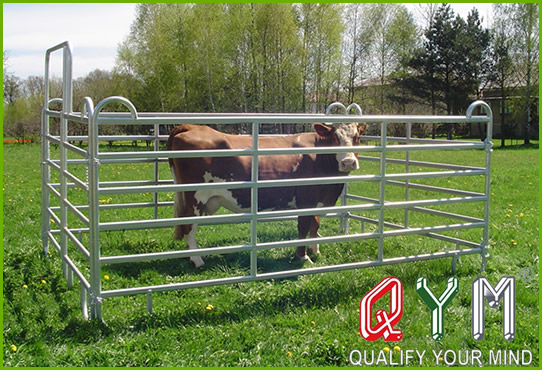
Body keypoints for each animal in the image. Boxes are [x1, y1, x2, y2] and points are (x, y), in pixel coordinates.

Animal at [168, 123, 368, 268]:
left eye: (357, 137)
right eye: (334, 137)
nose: (348, 162)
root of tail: (192, 126)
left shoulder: (317, 200)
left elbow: (315, 225)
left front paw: (315, 250)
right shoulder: (306, 200)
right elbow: (303, 228)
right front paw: (302, 257)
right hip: (195, 197)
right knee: (189, 226)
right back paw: (197, 260)